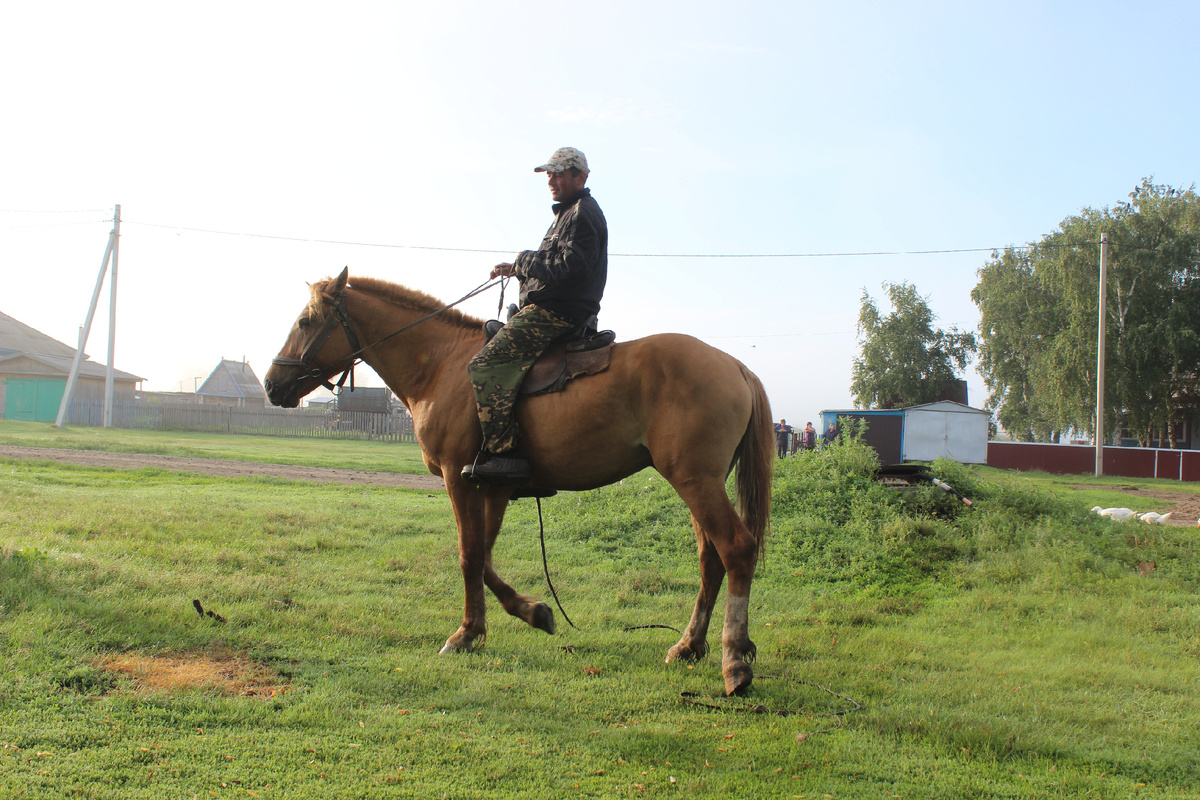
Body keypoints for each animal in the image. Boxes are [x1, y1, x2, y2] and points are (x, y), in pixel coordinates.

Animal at [264, 268, 772, 695]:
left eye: (306, 321)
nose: (272, 385)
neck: (441, 365)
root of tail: (734, 366)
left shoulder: (459, 480)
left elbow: (468, 555)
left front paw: (465, 634)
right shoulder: (495, 486)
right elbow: (484, 558)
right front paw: (530, 612)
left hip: (695, 481)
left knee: (735, 550)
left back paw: (734, 660)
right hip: (699, 483)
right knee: (710, 560)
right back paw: (688, 645)